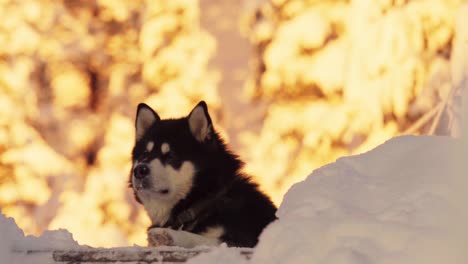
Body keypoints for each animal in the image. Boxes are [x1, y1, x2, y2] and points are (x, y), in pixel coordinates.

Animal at [129, 100, 278, 248]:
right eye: (144, 154)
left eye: (171, 156)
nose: (140, 171)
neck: (204, 200)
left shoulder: (245, 240)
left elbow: (205, 240)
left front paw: (171, 235)